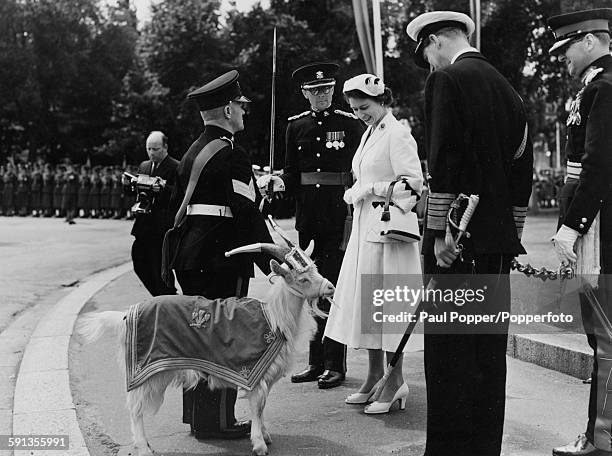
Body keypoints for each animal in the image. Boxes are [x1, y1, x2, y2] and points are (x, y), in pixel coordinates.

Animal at [77, 239, 334, 456]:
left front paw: (265, 435)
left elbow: (261, 408)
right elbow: (257, 406)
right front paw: (259, 444)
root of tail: (126, 316)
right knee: (135, 408)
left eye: (316, 269)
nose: (331, 287)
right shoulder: (253, 372)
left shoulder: (265, 375)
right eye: (303, 279)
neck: (274, 316)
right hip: (145, 369)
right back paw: (143, 447)